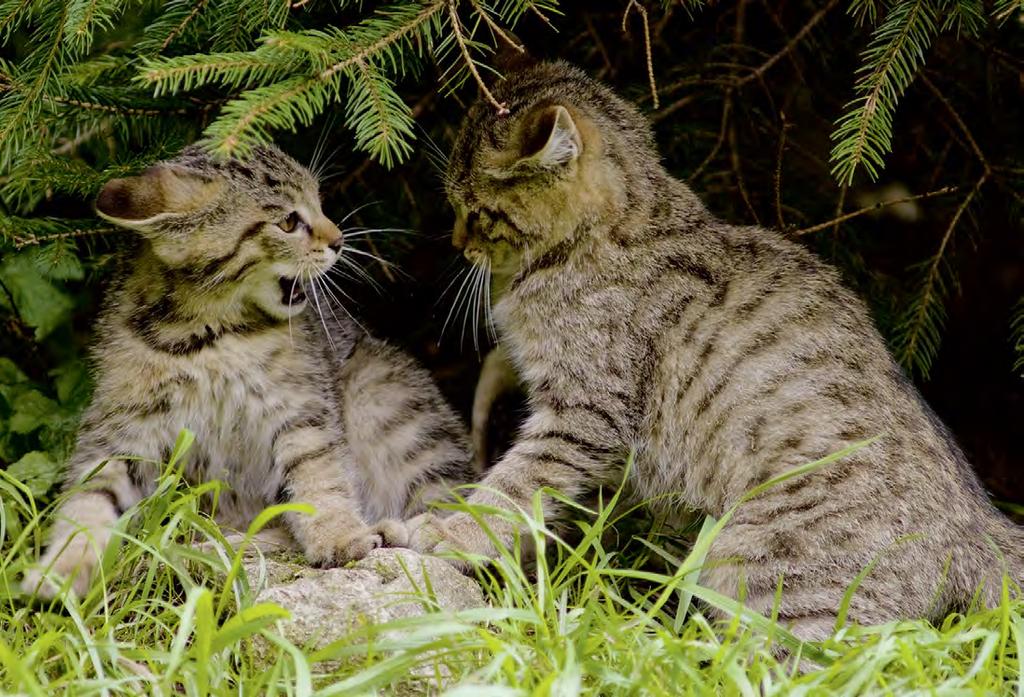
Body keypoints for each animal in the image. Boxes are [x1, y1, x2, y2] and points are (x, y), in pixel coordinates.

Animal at [22, 142, 473, 597]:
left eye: (319, 200)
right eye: (289, 221)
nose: (340, 241)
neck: (204, 335)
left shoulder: (299, 406)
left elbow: (318, 476)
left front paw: (339, 534)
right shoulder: (122, 425)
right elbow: (88, 497)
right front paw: (62, 568)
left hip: (382, 397)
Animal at [401, 62, 1024, 638]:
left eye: (474, 210)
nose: (456, 242)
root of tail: (980, 527)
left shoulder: (582, 414)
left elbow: (512, 487)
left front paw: (444, 532)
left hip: (762, 564)